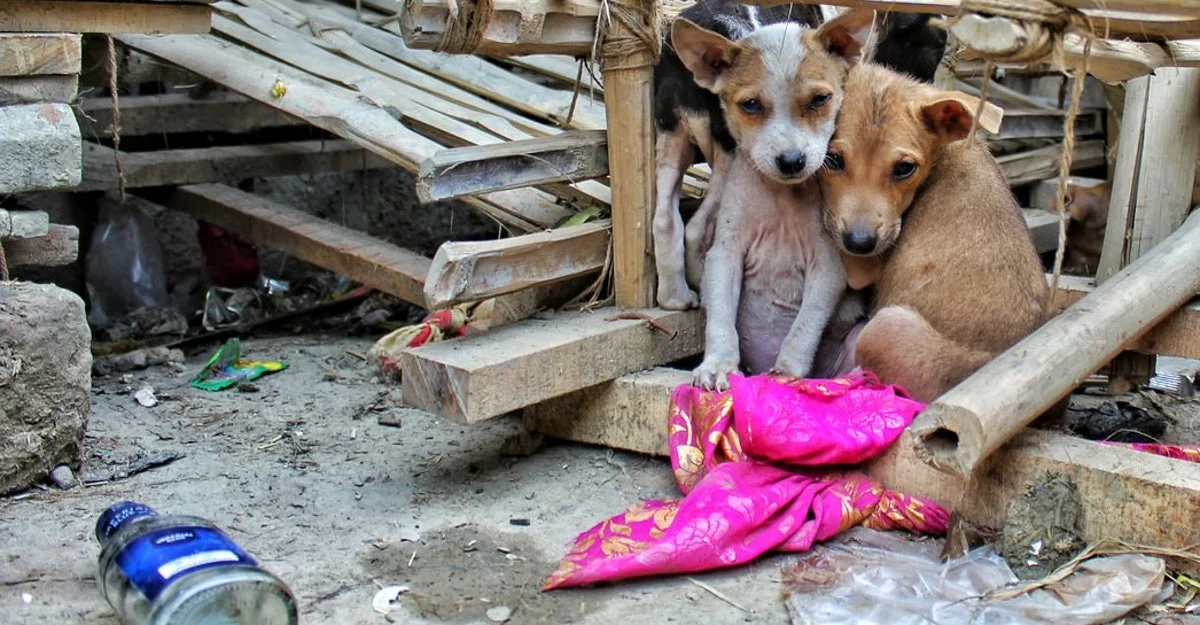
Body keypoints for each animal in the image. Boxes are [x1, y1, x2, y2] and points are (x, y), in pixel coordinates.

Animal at [820, 62, 1046, 400]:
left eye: (904, 168)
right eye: (832, 159)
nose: (860, 243)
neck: (946, 152)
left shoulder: (863, 265)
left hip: (884, 326)